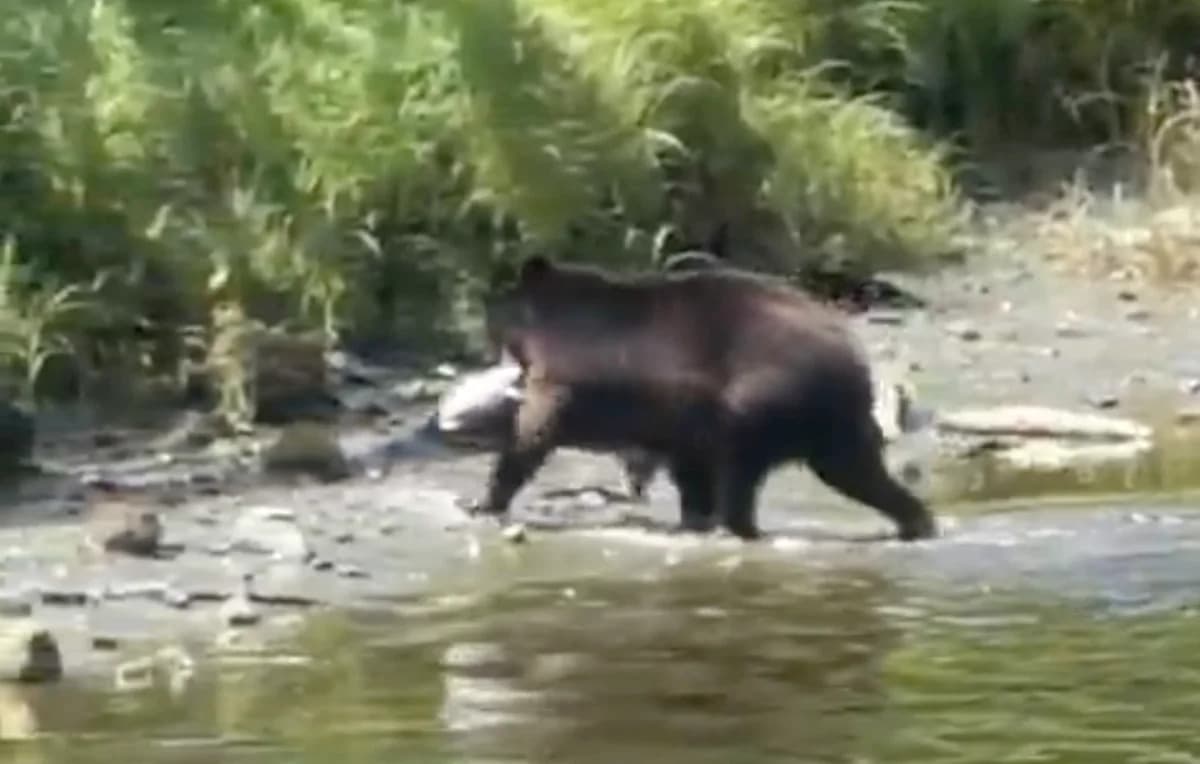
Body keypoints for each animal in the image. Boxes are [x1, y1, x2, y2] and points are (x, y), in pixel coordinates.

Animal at [471, 254, 938, 541]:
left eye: (492, 318)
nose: (485, 348)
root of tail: (853, 359)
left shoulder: (568, 371)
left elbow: (536, 429)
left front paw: (486, 499)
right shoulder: (682, 417)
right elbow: (688, 468)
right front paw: (691, 515)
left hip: (762, 397)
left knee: (742, 469)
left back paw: (738, 525)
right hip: (829, 425)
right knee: (857, 469)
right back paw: (916, 521)